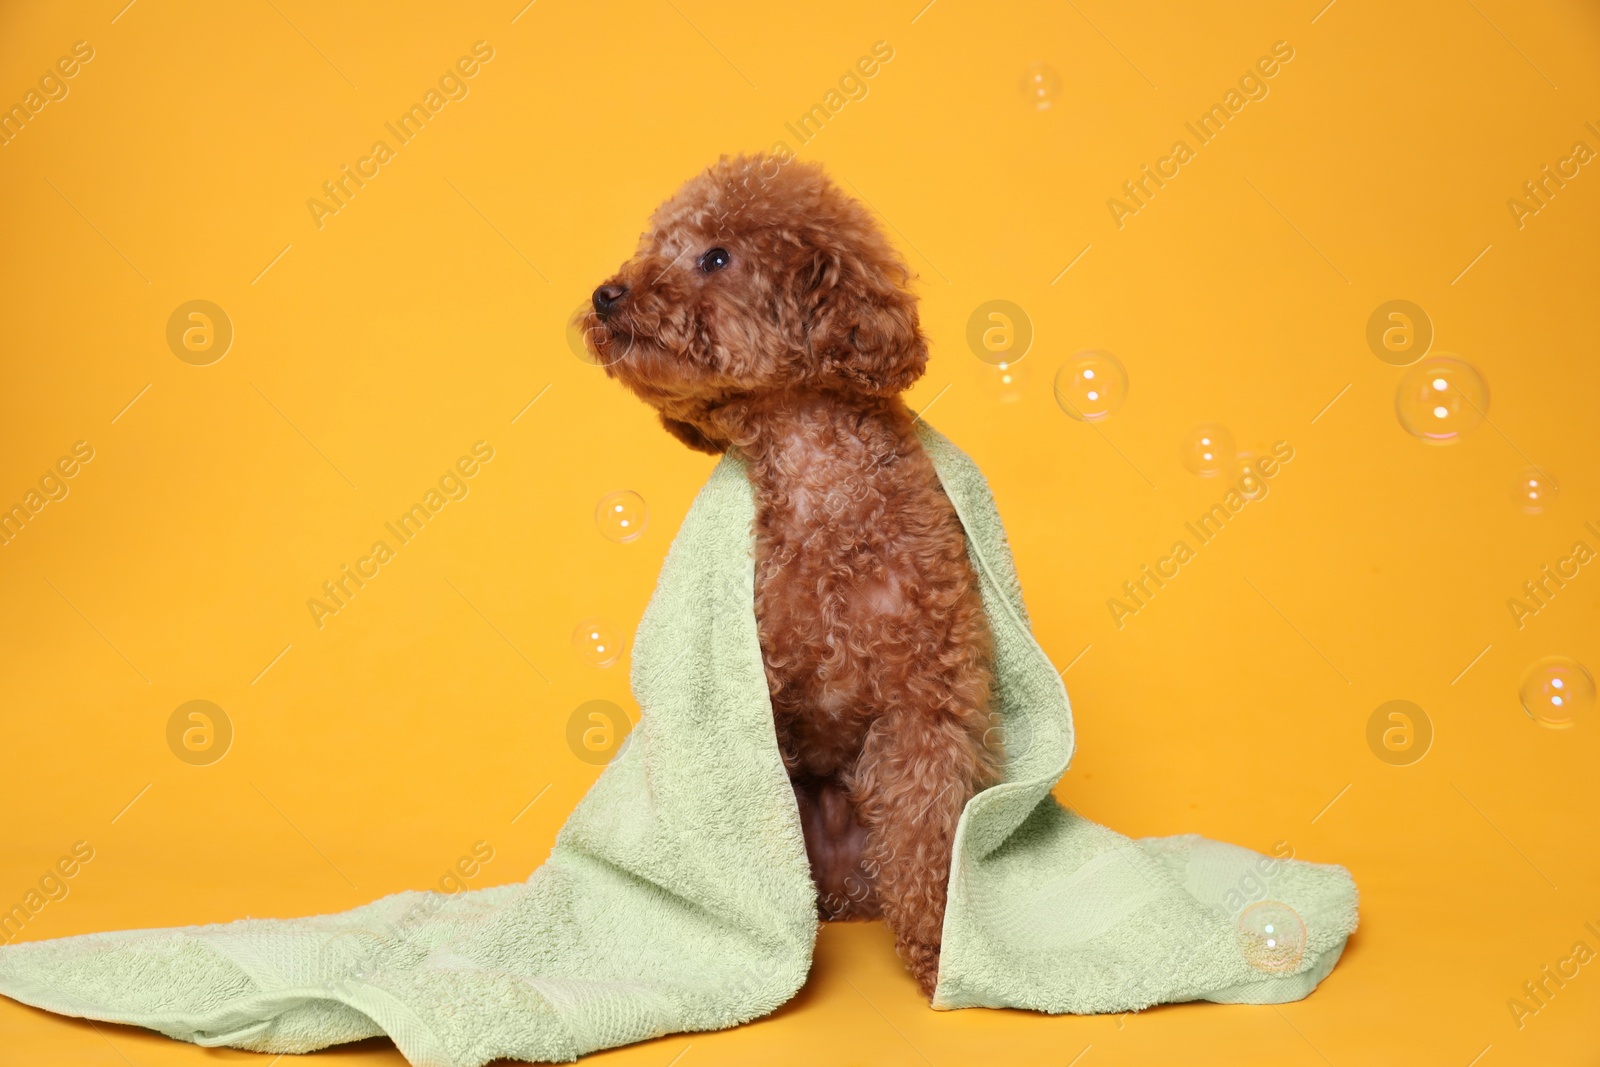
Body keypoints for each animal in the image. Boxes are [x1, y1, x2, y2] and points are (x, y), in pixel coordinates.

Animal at [576, 154, 998, 998]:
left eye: (716, 258)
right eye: (657, 246)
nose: (608, 293)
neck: (818, 476)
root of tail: (840, 892)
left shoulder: (926, 697)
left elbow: (928, 831)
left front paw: (939, 950)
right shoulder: (749, 702)